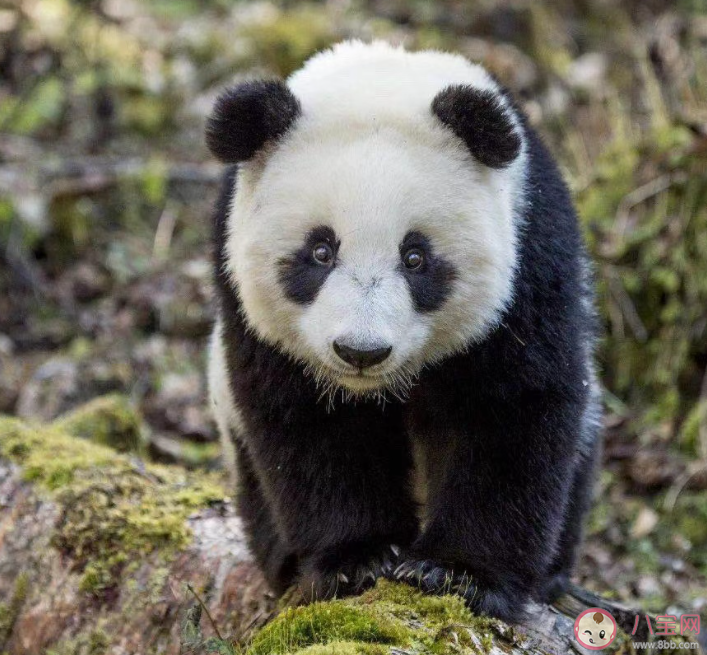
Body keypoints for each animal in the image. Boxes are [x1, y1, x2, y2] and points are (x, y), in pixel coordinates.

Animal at [206, 38, 604, 624]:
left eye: (415, 257)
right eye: (320, 251)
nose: (360, 351)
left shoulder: (531, 253)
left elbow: (510, 410)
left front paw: (459, 573)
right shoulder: (242, 289)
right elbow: (308, 426)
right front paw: (358, 559)